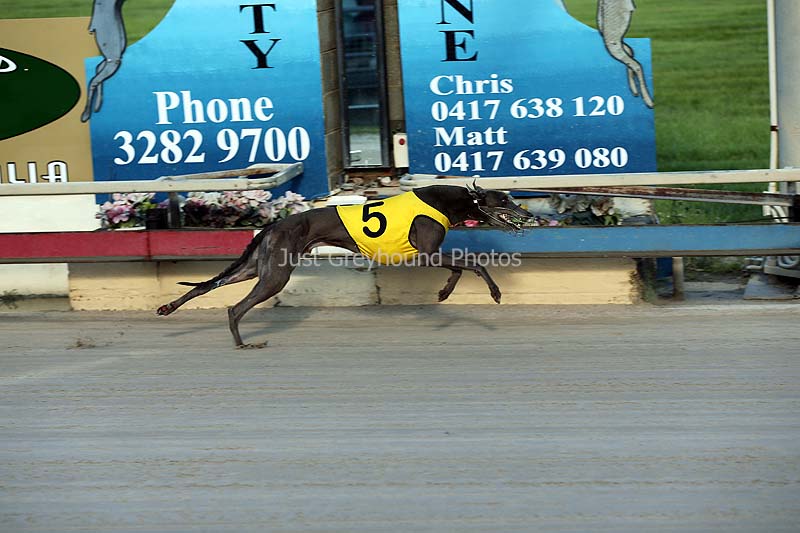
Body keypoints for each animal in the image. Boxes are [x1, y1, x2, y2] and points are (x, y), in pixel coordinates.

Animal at [156, 183, 533, 347]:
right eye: (504, 200)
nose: (528, 214)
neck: (451, 200)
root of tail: (274, 225)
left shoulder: (427, 254)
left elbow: (457, 268)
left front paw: (443, 293)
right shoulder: (426, 251)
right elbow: (473, 264)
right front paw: (495, 293)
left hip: (255, 268)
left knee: (206, 286)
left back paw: (167, 308)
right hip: (276, 274)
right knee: (236, 307)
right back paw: (242, 342)